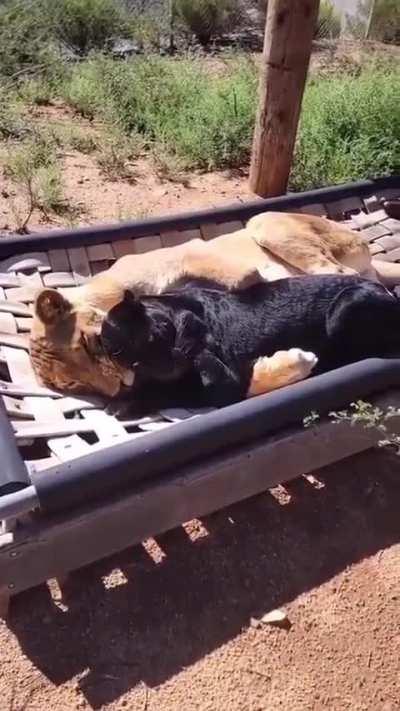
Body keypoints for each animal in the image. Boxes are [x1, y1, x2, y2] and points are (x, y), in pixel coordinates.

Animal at [30, 211, 399, 398]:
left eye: (88, 344)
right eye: (75, 386)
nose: (120, 389)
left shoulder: (194, 254)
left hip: (265, 223)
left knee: (340, 274)